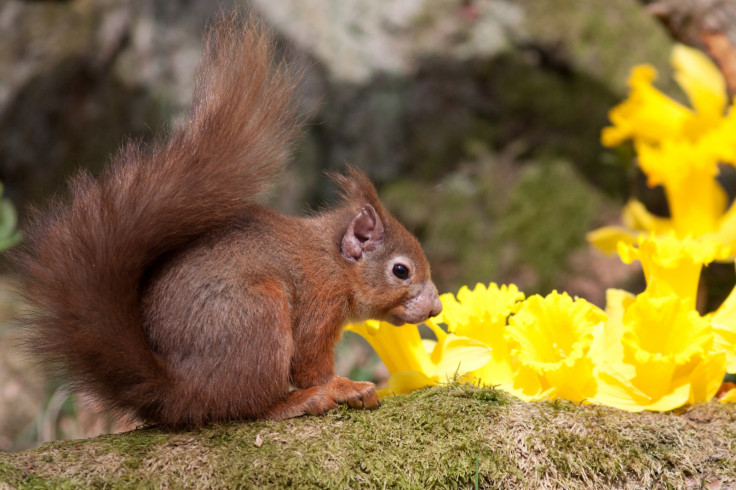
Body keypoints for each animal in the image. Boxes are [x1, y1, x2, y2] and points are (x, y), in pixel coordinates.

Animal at [11, 15, 440, 426]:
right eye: (401, 271)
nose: (436, 308)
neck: (333, 260)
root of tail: (180, 392)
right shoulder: (320, 301)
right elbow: (310, 364)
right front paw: (343, 386)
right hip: (260, 316)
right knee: (249, 406)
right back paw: (300, 401)